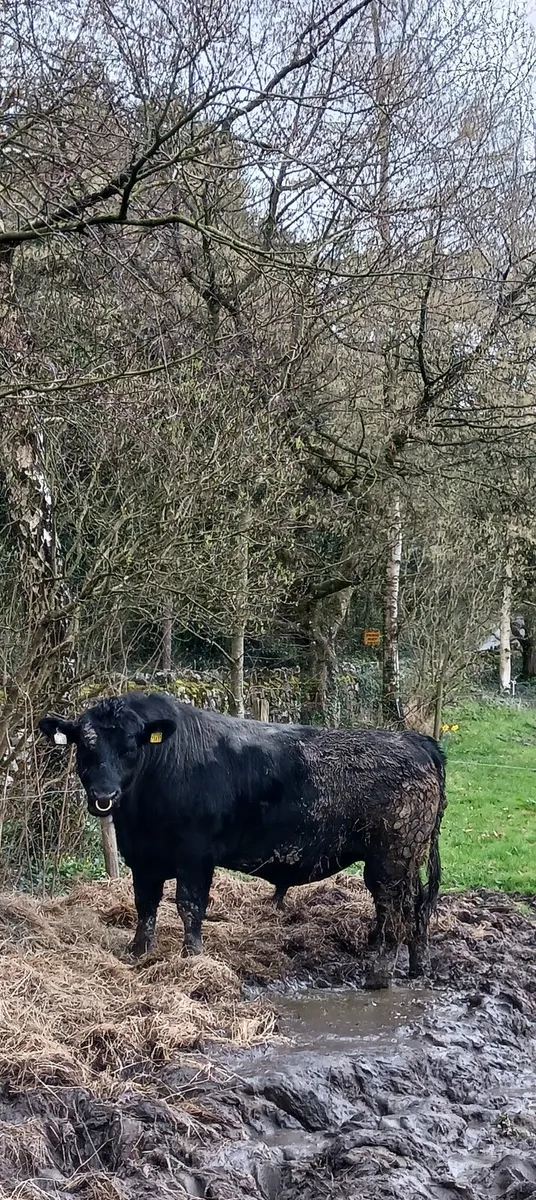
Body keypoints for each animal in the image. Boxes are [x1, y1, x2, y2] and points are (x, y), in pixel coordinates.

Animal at [39, 692, 447, 980]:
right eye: (86, 745)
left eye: (130, 747)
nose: (103, 796)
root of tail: (414, 740)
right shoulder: (143, 859)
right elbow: (145, 905)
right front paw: (139, 951)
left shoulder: (195, 856)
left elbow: (189, 906)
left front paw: (193, 957)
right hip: (405, 860)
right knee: (415, 907)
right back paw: (418, 966)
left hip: (390, 860)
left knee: (394, 911)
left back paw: (379, 975)